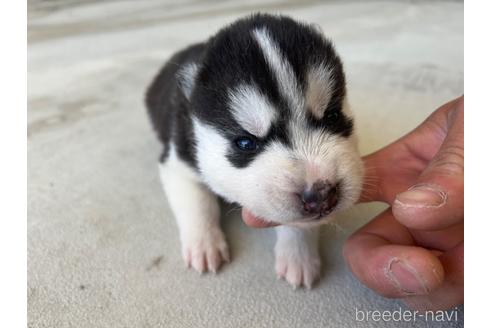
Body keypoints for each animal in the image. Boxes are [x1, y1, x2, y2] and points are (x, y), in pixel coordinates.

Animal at [144, 14, 364, 288]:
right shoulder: (178, 162)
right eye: (246, 143)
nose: (321, 195)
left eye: (333, 116)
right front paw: (204, 246)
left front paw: (298, 258)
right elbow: (198, 204)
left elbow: (297, 225)